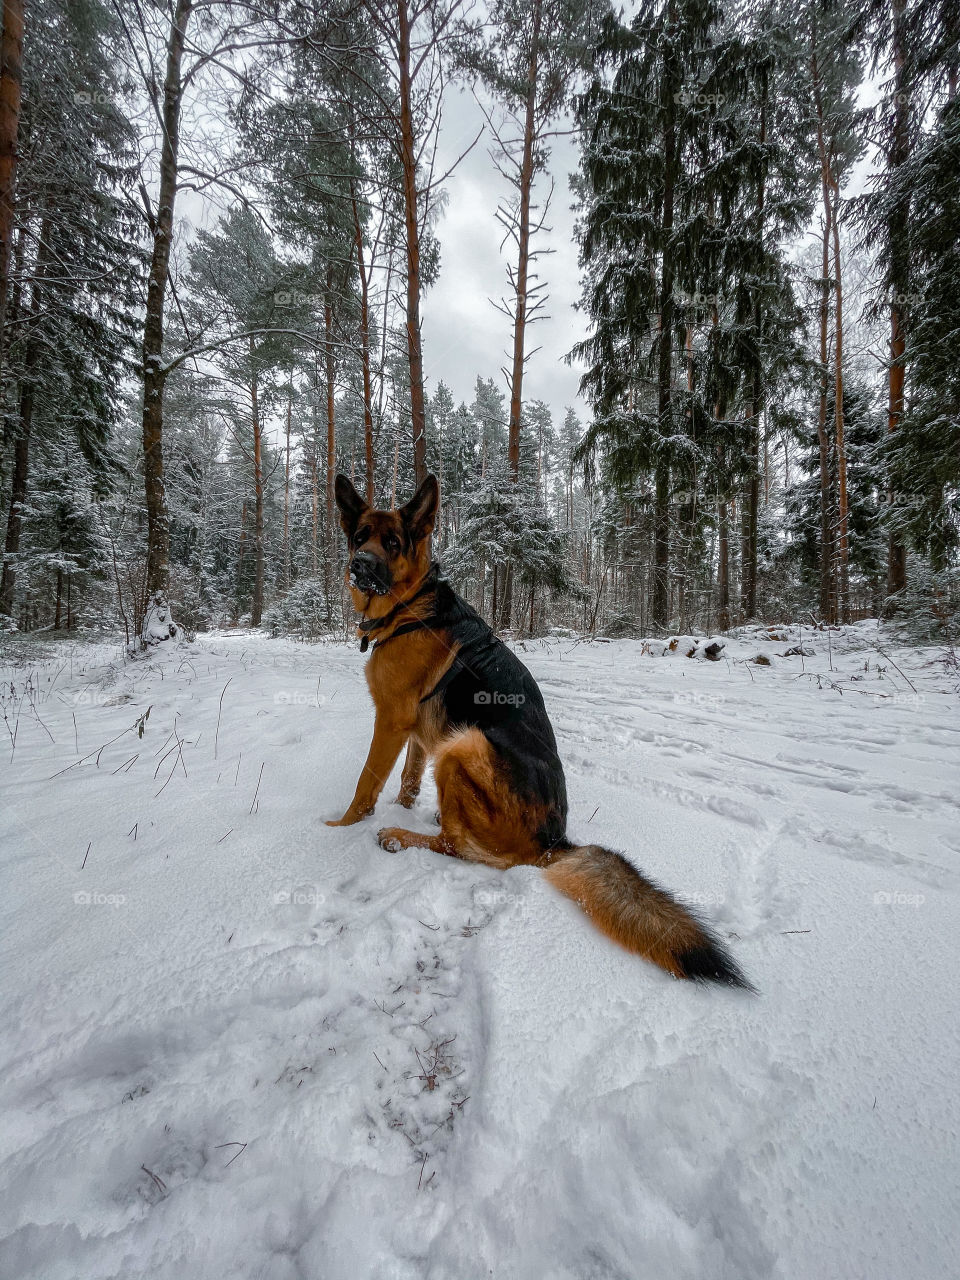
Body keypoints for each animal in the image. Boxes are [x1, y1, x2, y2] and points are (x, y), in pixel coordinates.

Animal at [330, 476, 752, 983]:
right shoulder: (414, 734)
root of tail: (556, 841)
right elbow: (408, 782)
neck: (410, 606)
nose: (359, 564)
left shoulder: (390, 722)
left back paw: (399, 837)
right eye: (360, 537)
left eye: (392, 543)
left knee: (458, 848)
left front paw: (339, 829)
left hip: (463, 743)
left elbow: (366, 782)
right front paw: (400, 809)